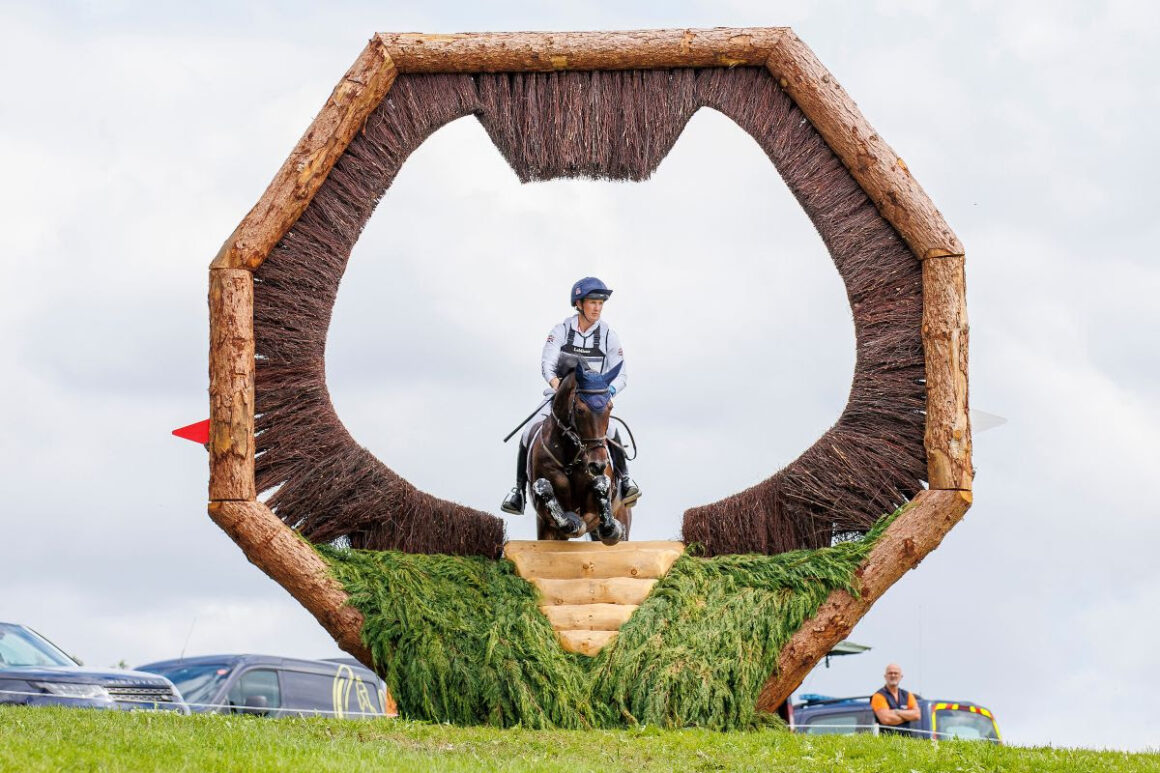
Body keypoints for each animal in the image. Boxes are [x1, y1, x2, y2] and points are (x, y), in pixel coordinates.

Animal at [528, 362, 635, 540]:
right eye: (579, 410)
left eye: (610, 408)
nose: (598, 465)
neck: (571, 458)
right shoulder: (545, 517)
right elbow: (548, 497)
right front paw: (573, 520)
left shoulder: (593, 513)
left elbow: (602, 512)